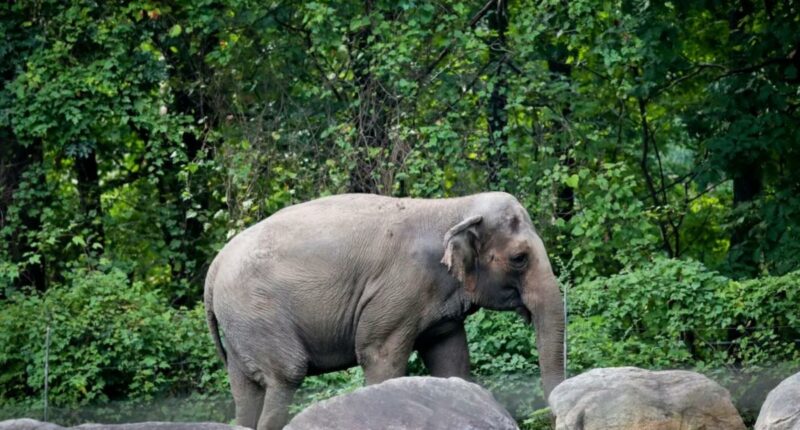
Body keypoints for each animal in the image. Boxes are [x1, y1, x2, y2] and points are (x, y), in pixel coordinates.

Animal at [204, 192, 565, 430]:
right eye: (519, 258)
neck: (453, 206)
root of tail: (215, 266)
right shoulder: (398, 290)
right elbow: (380, 356)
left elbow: (451, 358)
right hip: (257, 312)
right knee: (285, 375)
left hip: (240, 325)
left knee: (245, 391)